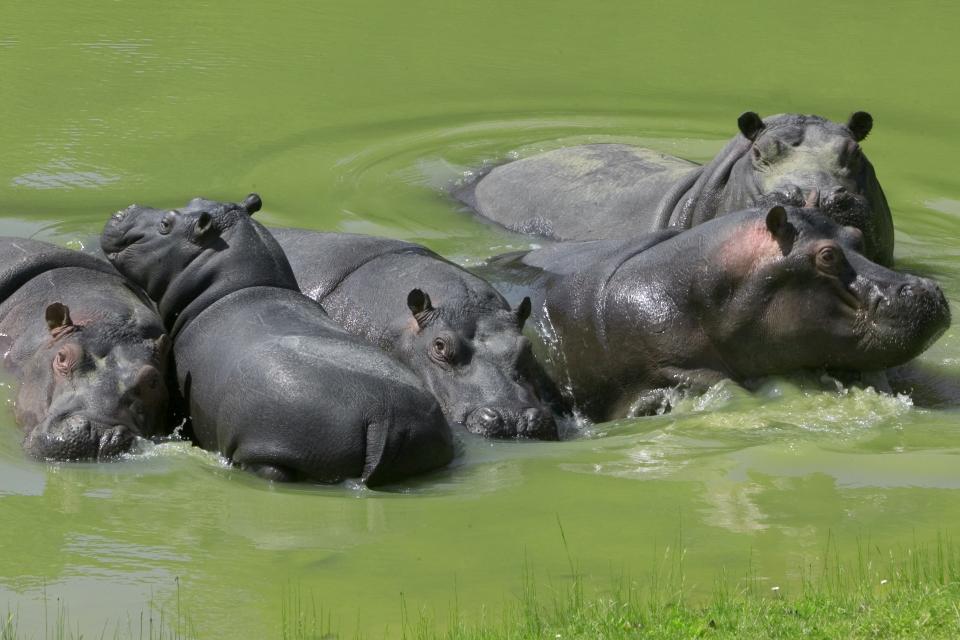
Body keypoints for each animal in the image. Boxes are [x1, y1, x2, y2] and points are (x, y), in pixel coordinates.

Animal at [101, 195, 454, 484]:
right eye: (194, 199)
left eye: (166, 223)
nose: (122, 210)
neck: (239, 285)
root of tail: (385, 420)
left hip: (274, 454)